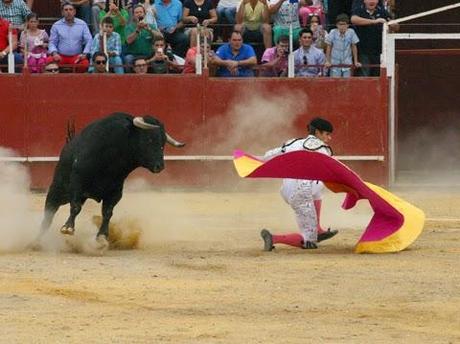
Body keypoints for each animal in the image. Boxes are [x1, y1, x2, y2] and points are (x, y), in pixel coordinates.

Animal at [40, 113, 185, 245]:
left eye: (163, 143)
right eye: (149, 140)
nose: (160, 166)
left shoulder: (115, 192)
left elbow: (107, 212)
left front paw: (102, 236)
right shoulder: (77, 182)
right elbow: (75, 207)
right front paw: (68, 228)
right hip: (59, 189)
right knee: (50, 210)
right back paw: (38, 240)